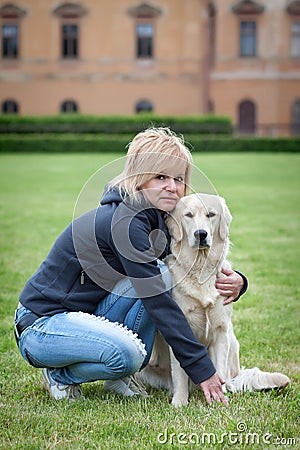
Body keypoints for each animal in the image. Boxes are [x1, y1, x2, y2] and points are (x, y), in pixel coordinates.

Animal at [137, 193, 290, 408]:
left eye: (211, 214)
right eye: (188, 215)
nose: (201, 234)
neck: (200, 267)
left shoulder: (220, 329)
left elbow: (218, 370)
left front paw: (220, 399)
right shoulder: (182, 328)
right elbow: (181, 372)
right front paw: (179, 402)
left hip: (232, 339)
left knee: (231, 375)